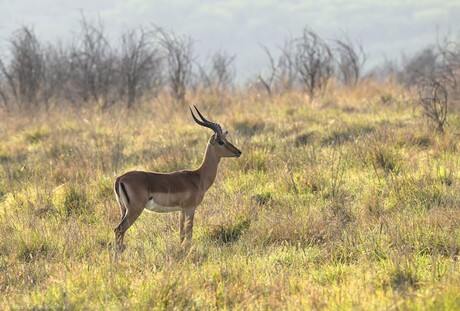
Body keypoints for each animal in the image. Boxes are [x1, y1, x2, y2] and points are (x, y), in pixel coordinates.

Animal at [113, 106, 243, 260]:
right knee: (119, 229)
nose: (238, 152)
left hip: (123, 209)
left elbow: (181, 234)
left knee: (119, 231)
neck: (198, 177)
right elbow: (189, 233)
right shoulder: (190, 208)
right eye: (221, 142)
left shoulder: (181, 210)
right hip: (134, 210)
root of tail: (120, 178)